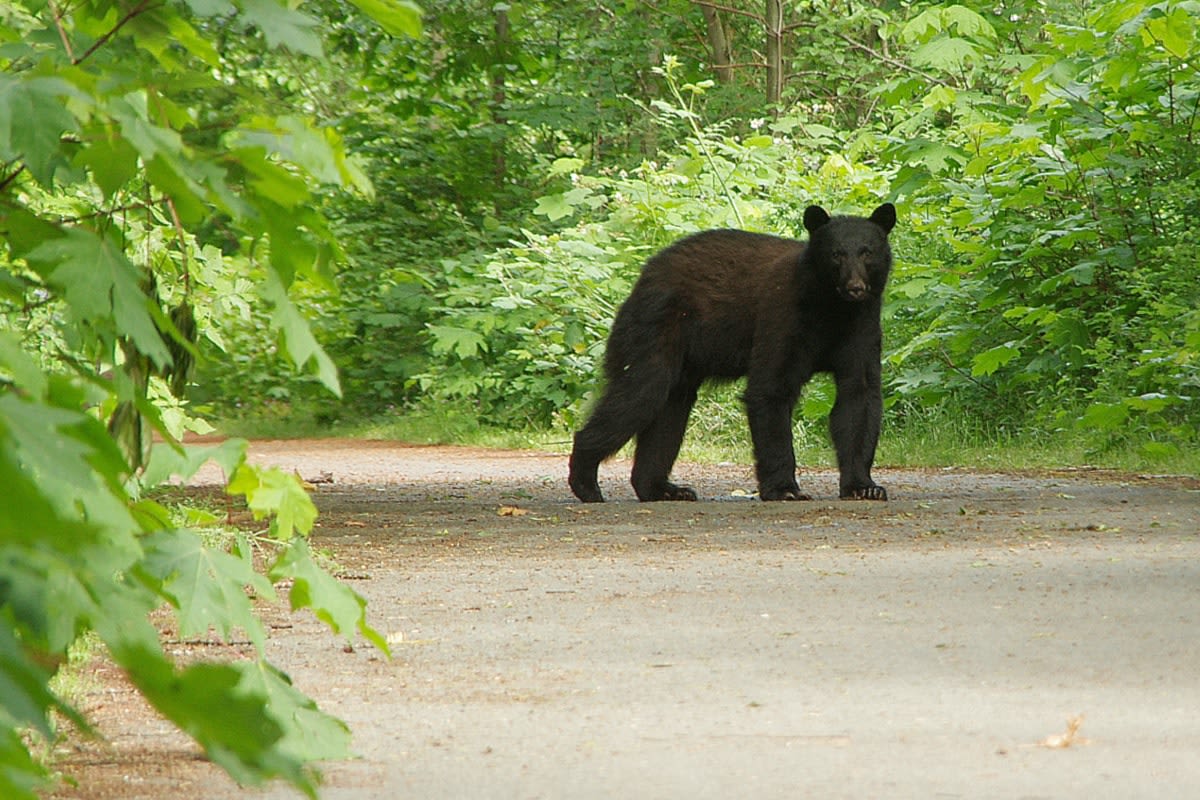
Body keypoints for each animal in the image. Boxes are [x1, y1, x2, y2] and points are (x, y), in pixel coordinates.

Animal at [566, 201, 897, 501]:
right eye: (836, 254)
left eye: (867, 251)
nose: (855, 287)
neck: (832, 309)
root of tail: (644, 276)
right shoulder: (785, 317)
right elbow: (771, 389)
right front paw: (785, 489)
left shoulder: (861, 328)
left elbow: (858, 397)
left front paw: (863, 486)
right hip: (654, 328)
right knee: (639, 393)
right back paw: (587, 482)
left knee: (669, 410)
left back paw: (664, 489)